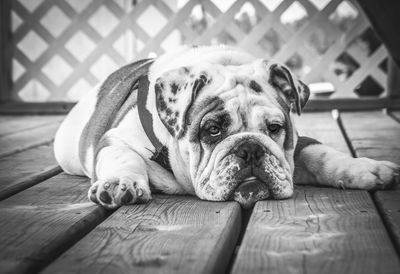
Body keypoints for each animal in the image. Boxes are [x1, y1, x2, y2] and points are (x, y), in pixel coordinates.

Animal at [54, 45, 400, 209]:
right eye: (213, 130)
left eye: (275, 128)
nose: (250, 149)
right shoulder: (115, 140)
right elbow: (124, 157)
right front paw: (120, 184)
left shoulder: (296, 145)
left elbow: (322, 154)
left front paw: (367, 170)